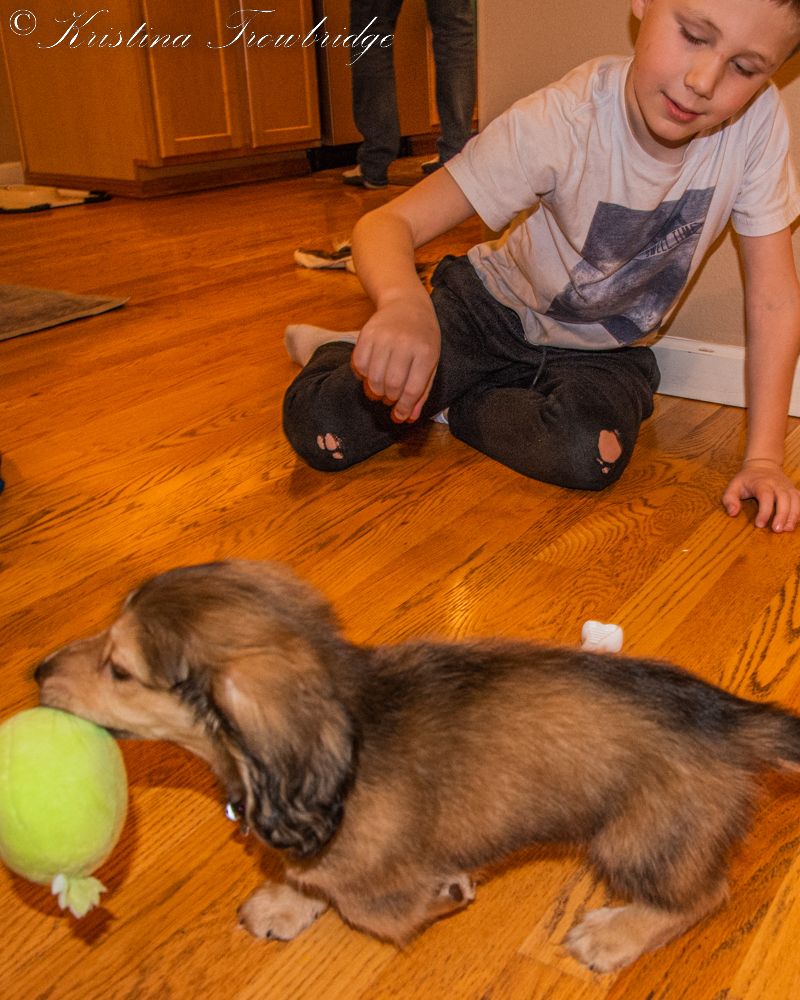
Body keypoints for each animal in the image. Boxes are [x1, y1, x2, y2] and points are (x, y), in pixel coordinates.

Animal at [34, 559, 800, 973]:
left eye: (120, 670)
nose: (36, 672)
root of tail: (730, 717)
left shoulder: (379, 880)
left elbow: (370, 905)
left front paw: (442, 893)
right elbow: (307, 876)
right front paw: (285, 902)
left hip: (639, 838)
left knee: (703, 896)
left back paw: (617, 933)